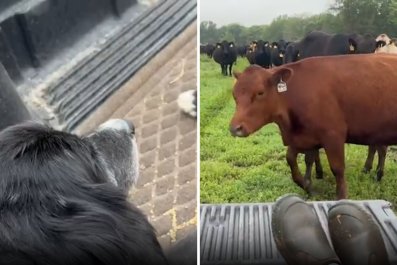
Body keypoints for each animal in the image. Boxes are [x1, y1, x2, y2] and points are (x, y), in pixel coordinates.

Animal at [229, 53, 397, 198]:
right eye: (234, 95)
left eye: (260, 93)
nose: (235, 128)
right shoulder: (306, 137)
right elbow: (292, 160)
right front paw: (309, 187)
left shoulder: (333, 136)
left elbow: (337, 169)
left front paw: (341, 196)